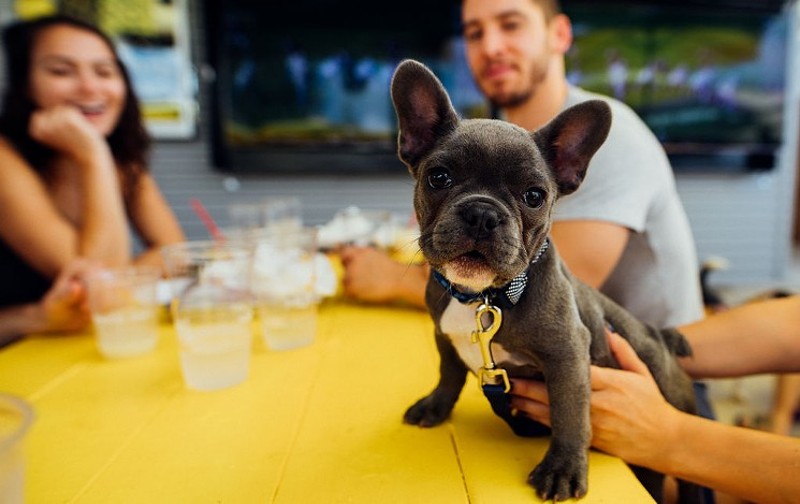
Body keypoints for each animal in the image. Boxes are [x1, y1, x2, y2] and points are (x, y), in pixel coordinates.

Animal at [392, 60, 700, 504]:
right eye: (439, 177)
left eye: (534, 196)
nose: (482, 213)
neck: (485, 297)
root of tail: (660, 337)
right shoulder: (443, 336)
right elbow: (448, 374)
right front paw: (435, 406)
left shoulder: (567, 355)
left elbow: (570, 414)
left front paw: (563, 469)